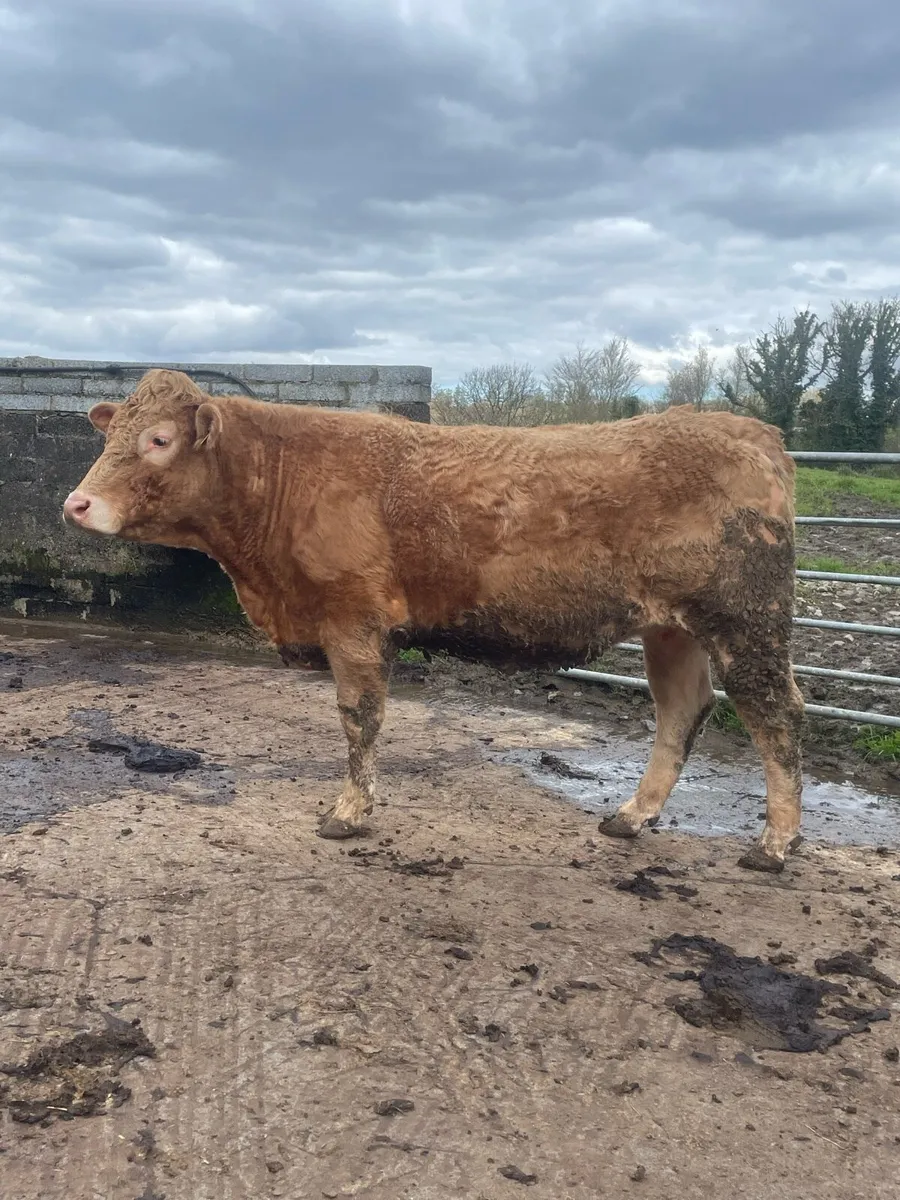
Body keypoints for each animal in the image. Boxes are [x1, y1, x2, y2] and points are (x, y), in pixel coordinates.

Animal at [62, 368, 805, 872]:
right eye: (110, 435)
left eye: (159, 439)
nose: (76, 503)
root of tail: (753, 432)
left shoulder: (355, 621)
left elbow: (359, 719)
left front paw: (348, 813)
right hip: (670, 627)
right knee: (682, 709)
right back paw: (631, 817)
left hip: (747, 622)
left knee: (777, 714)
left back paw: (774, 845)